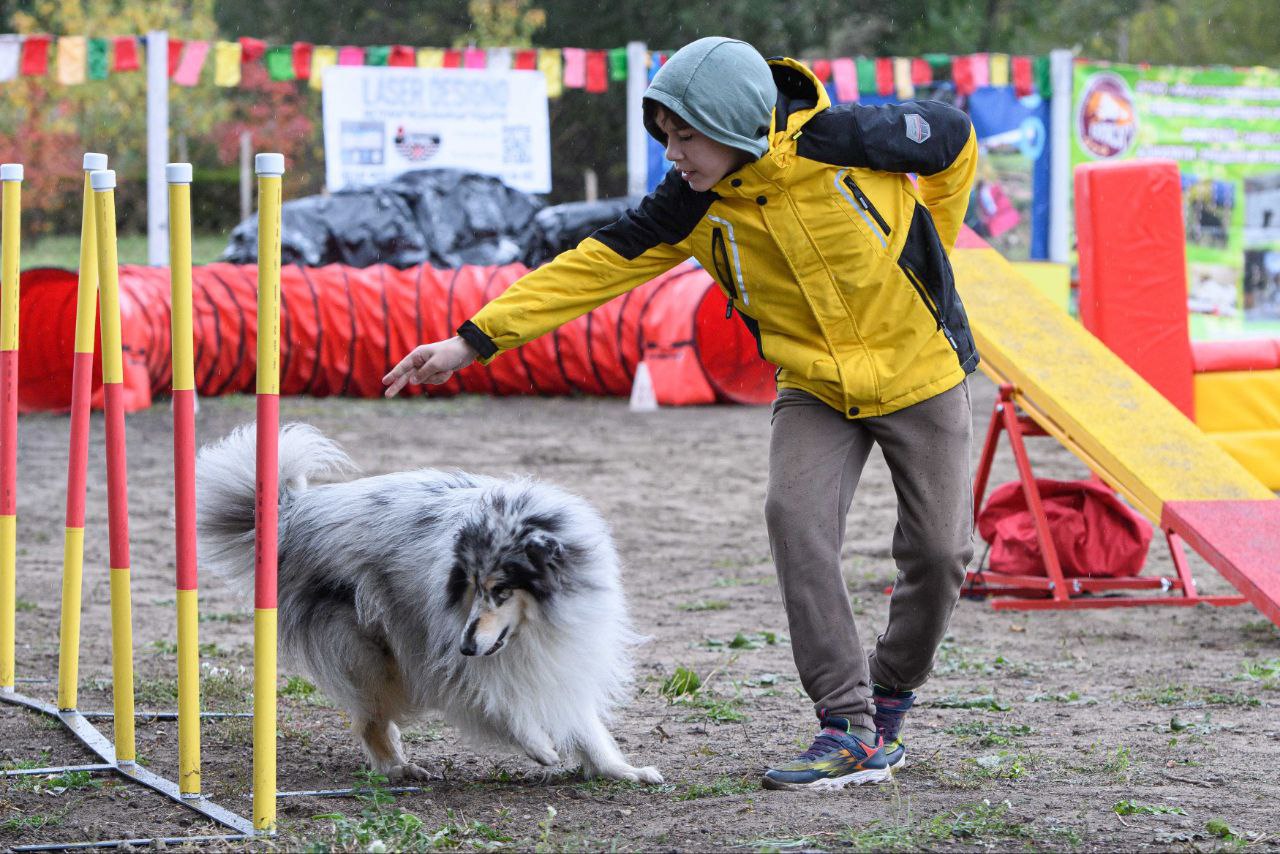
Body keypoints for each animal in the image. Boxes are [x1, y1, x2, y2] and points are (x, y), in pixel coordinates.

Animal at [197, 425, 670, 783]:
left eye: (501, 591)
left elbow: (583, 723)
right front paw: (540, 747)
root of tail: (295, 512)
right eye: (473, 586)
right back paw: (397, 769)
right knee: (369, 719)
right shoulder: (452, 660)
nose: (466, 645)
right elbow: (501, 705)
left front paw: (621, 770)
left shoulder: (557, 656)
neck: (535, 625)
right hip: (373, 652)